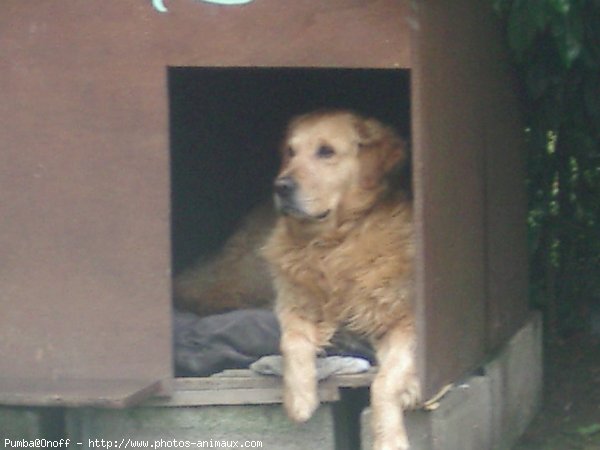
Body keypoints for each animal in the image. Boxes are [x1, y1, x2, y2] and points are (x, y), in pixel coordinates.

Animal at [264, 110, 420, 450]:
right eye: (290, 152)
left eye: (326, 151)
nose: (281, 186)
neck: (333, 244)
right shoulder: (292, 303)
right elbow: (291, 340)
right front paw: (299, 398)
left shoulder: (403, 321)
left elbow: (385, 382)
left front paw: (390, 438)